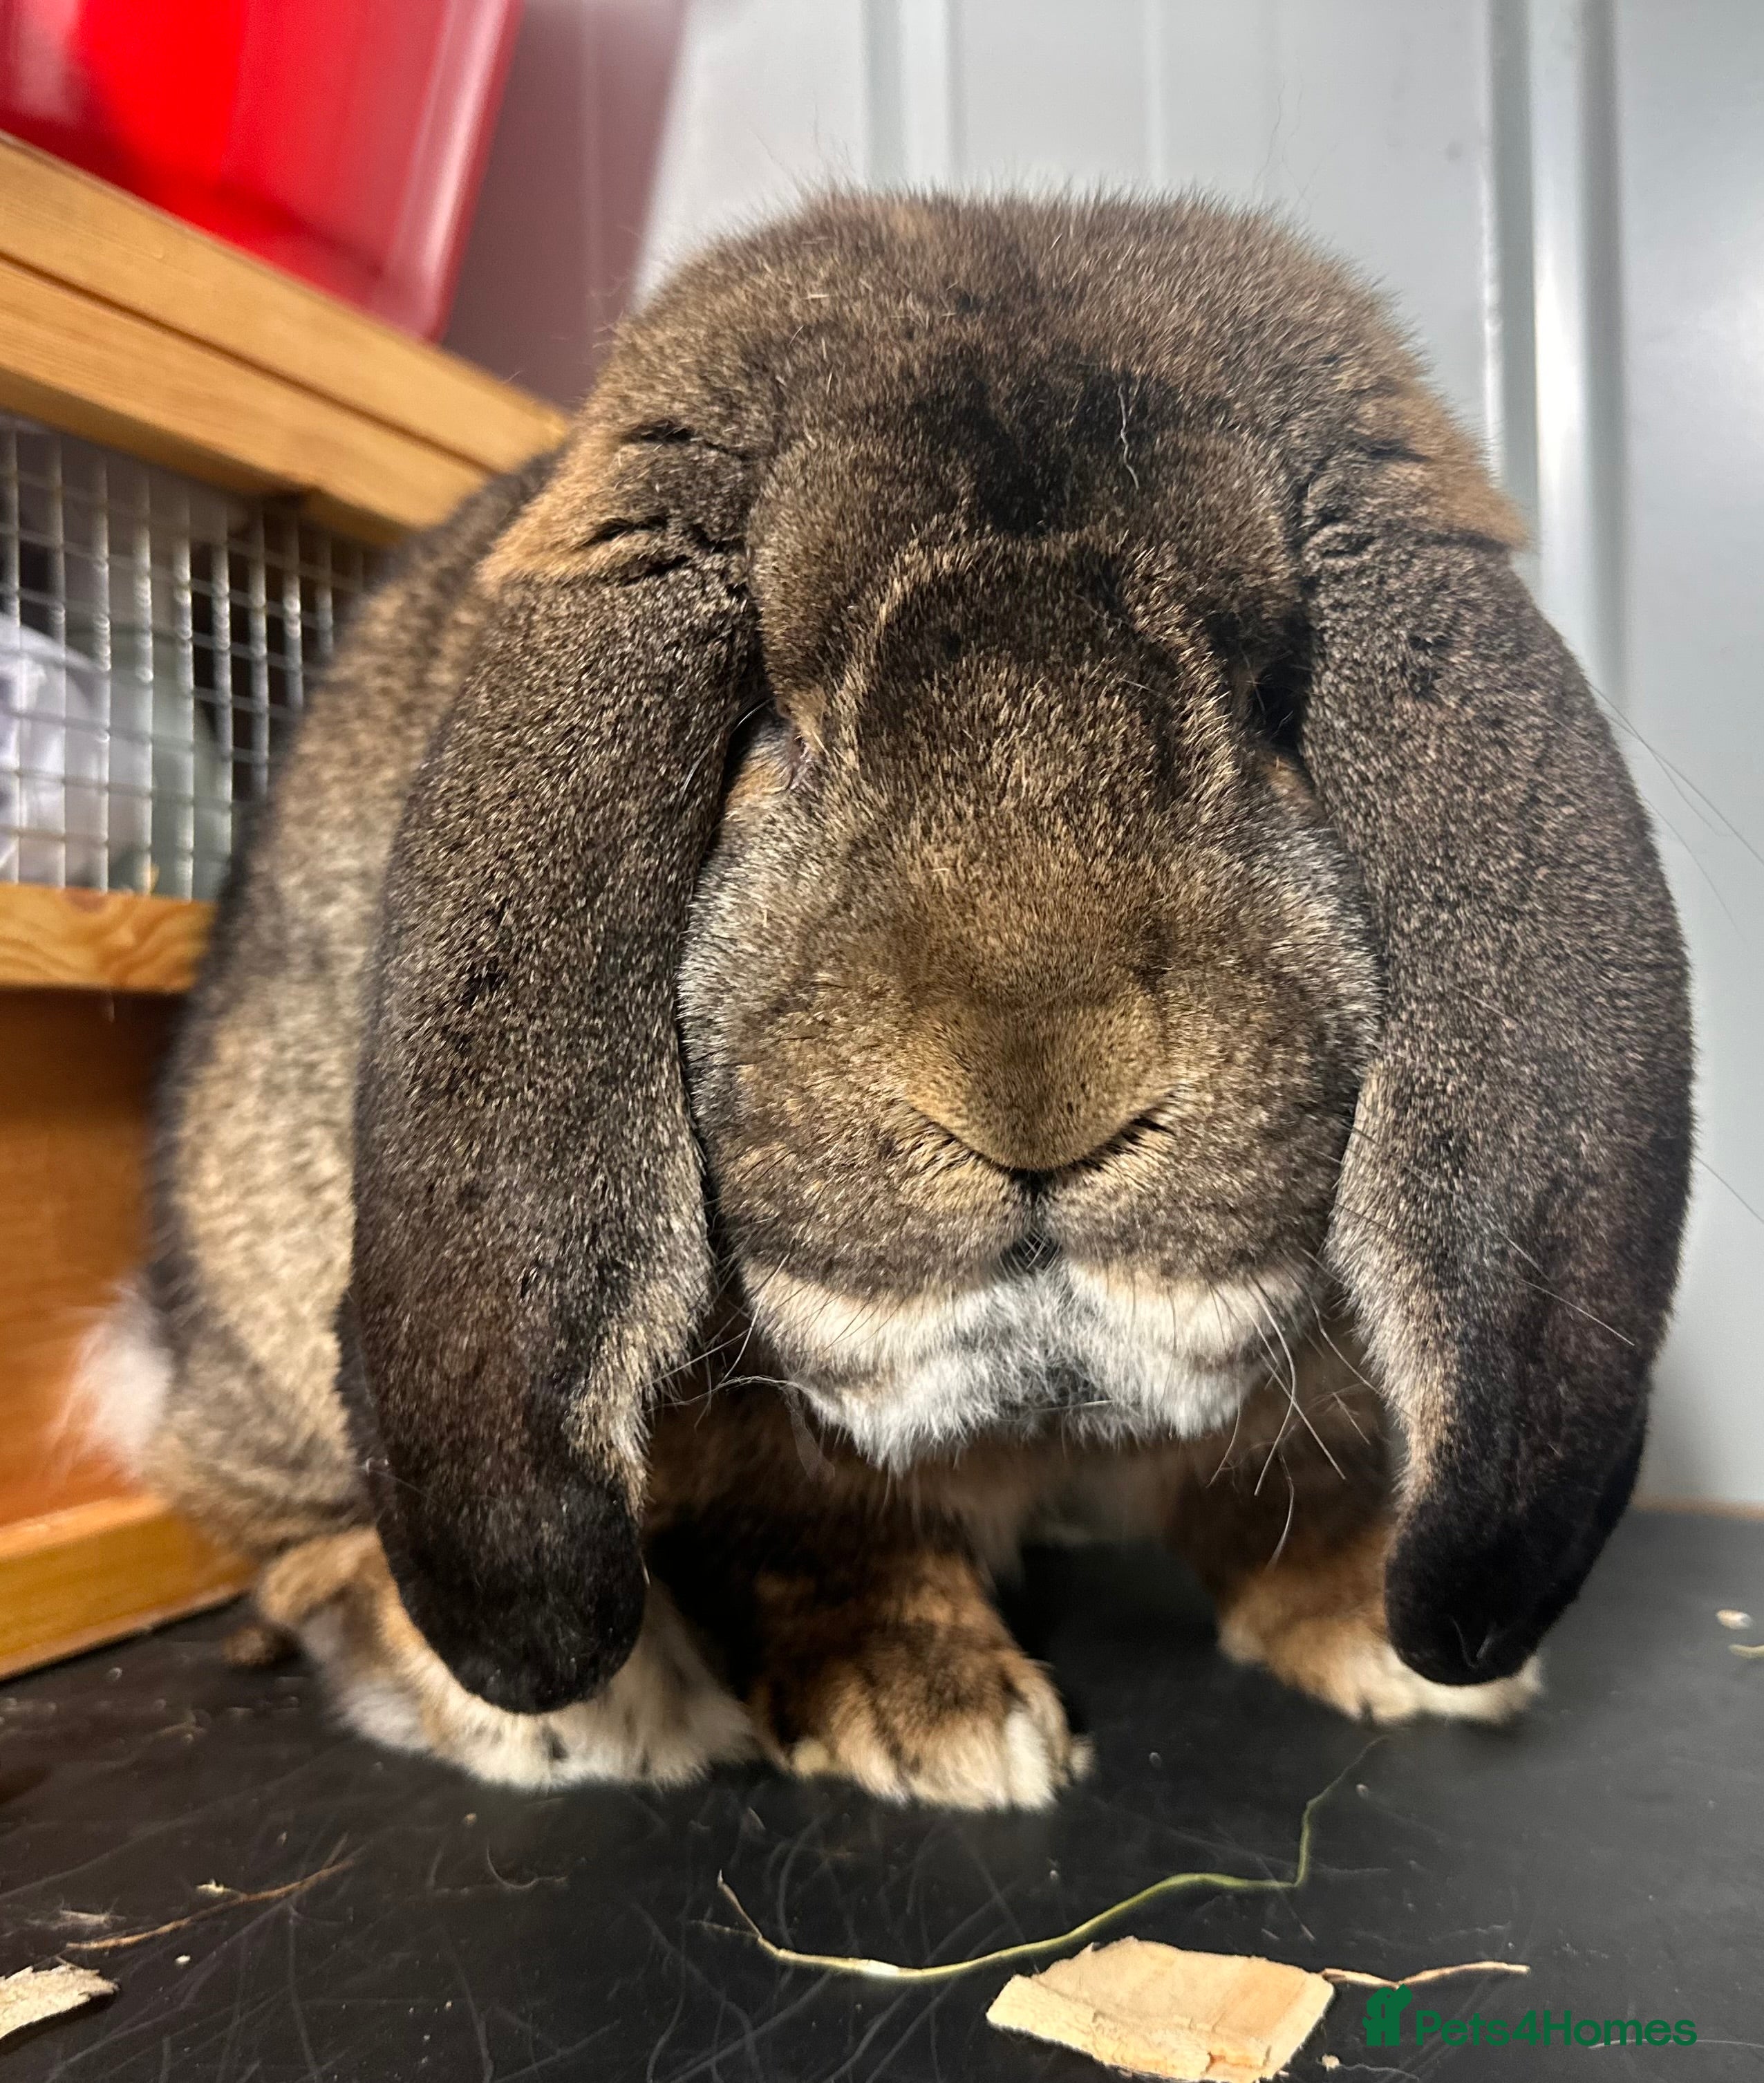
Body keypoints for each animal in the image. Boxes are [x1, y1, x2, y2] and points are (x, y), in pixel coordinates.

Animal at [81, 192, 1692, 1809]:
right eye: (767, 725)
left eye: (1270, 702)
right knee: (286, 1532)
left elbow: (1277, 1489)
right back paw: (580, 1714)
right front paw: (938, 1718)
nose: (1037, 1088)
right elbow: (820, 1534)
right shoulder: (758, 1464)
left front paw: (1377, 1634)